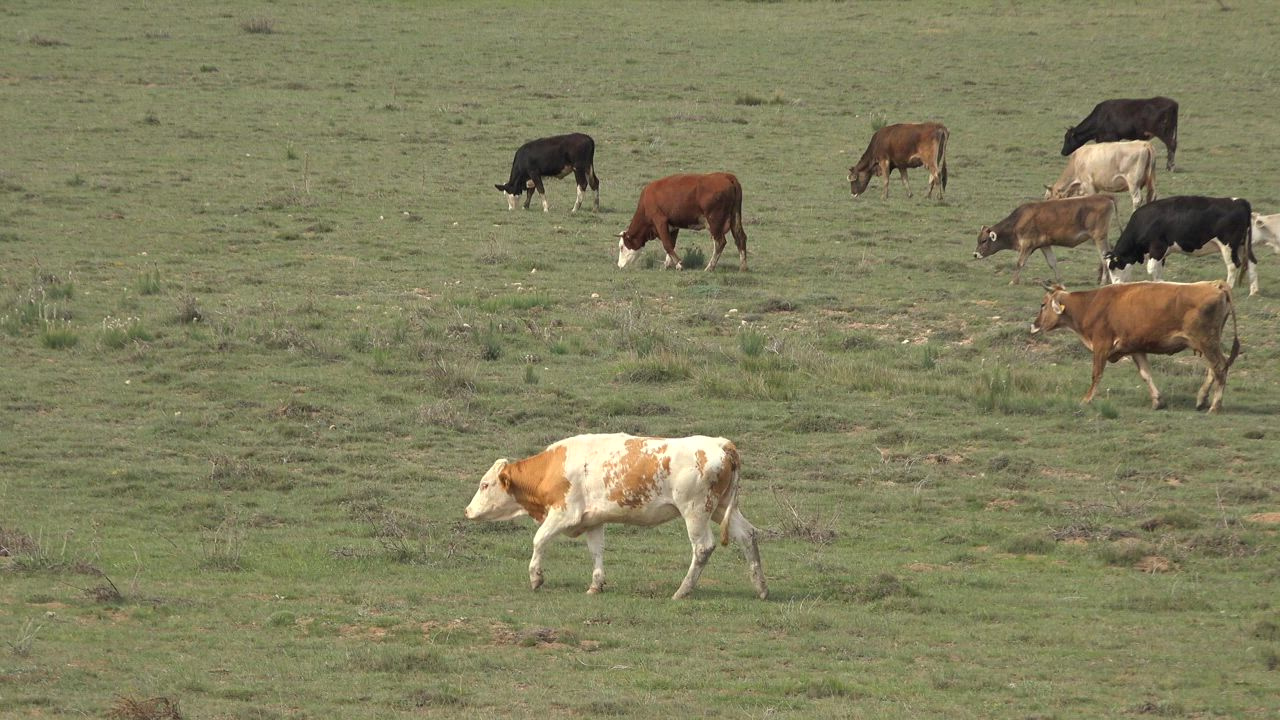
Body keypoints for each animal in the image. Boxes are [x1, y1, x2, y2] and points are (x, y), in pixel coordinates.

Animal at [464, 433, 768, 600]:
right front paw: (596, 585)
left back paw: (682, 591)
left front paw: (536, 578)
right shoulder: (593, 520)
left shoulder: (564, 513)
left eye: (485, 485)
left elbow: (539, 540)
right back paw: (761, 588)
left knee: (703, 547)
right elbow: (596, 551)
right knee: (748, 535)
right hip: (721, 508)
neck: (551, 467)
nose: (467, 511)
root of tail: (721, 444)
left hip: (695, 510)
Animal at [616, 172, 747, 272]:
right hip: (735, 218)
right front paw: (667, 264)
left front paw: (679, 264)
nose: (619, 265)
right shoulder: (673, 226)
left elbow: (667, 244)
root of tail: (726, 176)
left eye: (622, 247)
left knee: (720, 242)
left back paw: (709, 267)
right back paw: (743, 267)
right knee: (740, 238)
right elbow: (671, 243)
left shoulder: (660, 220)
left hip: (714, 221)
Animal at [974, 195, 1118, 285]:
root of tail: (1106, 197)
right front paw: (1060, 280)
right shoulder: (1044, 245)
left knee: (1105, 258)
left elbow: (1019, 263)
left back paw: (1104, 281)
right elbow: (1052, 262)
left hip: (1099, 237)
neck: (1018, 221)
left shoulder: (1027, 245)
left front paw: (1013, 281)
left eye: (984, 240)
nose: (975, 254)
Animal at [1031, 281, 1239, 413]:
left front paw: (1086, 399)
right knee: (1214, 369)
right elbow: (1146, 374)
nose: (1034, 325)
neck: (1090, 304)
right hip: (1208, 344)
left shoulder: (1101, 345)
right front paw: (1157, 401)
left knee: (1220, 367)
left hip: (1206, 341)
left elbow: (1096, 374)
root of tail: (1217, 285)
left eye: (1042, 304)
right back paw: (1202, 399)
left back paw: (1214, 406)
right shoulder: (1136, 349)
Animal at [1105, 196, 1255, 295]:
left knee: (1233, 265)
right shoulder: (1162, 253)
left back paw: (1229, 287)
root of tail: (1239, 201)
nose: (1114, 286)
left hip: (1228, 245)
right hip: (1243, 244)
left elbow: (1152, 269)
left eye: (1113, 267)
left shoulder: (1157, 247)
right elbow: (1157, 271)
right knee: (1251, 262)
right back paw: (1253, 291)